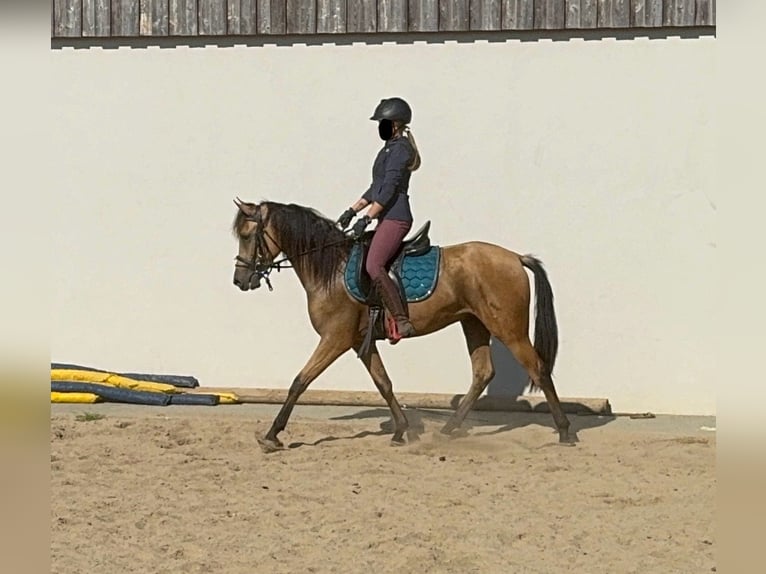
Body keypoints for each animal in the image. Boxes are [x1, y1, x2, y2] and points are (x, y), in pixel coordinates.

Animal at [234, 200, 576, 452]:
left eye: (248, 236)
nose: (240, 280)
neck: (332, 268)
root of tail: (516, 257)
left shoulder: (335, 338)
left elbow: (300, 381)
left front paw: (272, 435)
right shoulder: (360, 341)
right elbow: (383, 383)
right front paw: (403, 431)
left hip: (509, 328)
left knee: (537, 368)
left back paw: (565, 431)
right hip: (474, 324)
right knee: (482, 373)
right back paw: (449, 429)